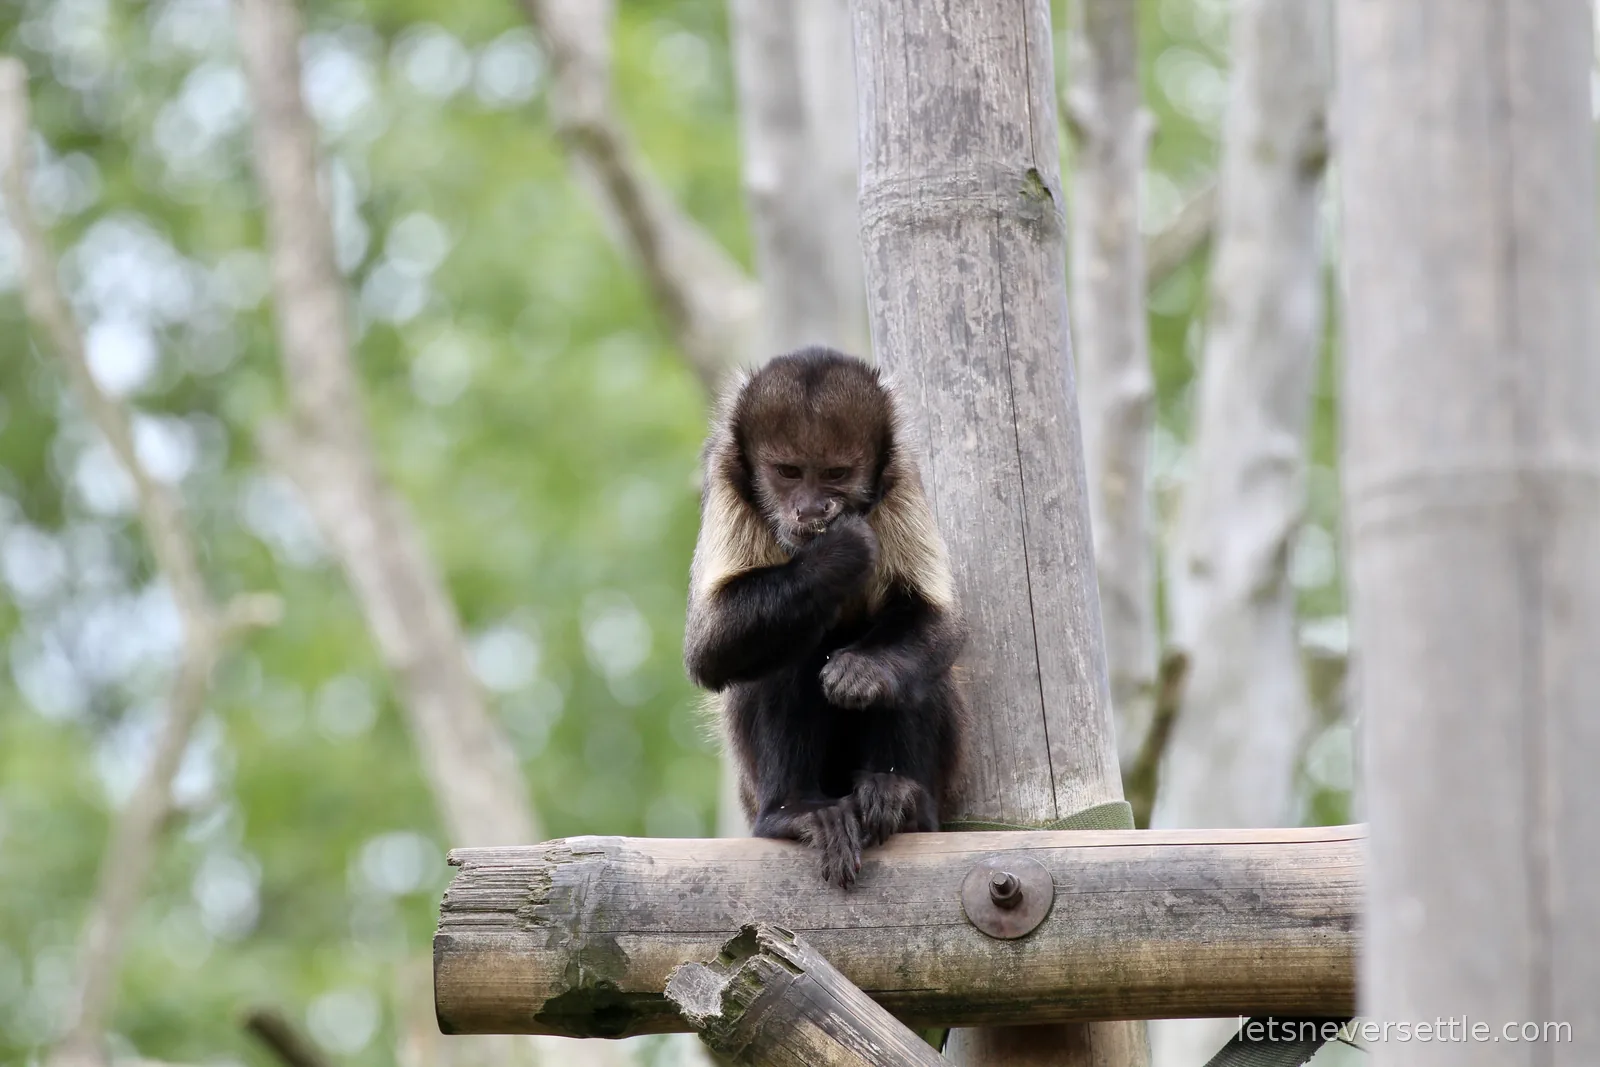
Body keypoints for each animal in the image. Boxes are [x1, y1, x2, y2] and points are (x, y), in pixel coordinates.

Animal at [683, 345, 968, 888]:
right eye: (789, 472)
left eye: (835, 474)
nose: (812, 509)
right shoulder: (725, 474)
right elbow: (708, 650)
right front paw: (836, 554)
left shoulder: (901, 475)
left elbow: (939, 622)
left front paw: (864, 672)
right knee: (790, 652)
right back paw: (794, 811)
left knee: (916, 668)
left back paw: (898, 796)